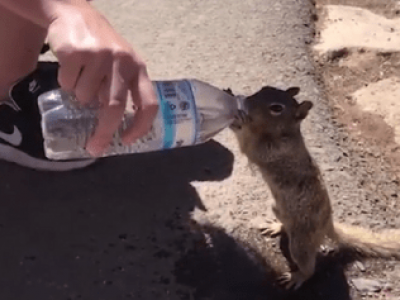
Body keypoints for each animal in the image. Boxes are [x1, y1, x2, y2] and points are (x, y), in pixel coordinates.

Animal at [225, 86, 400, 290]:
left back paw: (297, 277)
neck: (284, 133)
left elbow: (248, 146)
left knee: (308, 265)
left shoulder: (273, 150)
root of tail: (327, 224)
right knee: (285, 226)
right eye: (264, 89)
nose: (246, 102)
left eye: (276, 108)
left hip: (301, 242)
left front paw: (238, 119)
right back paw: (276, 226)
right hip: (277, 208)